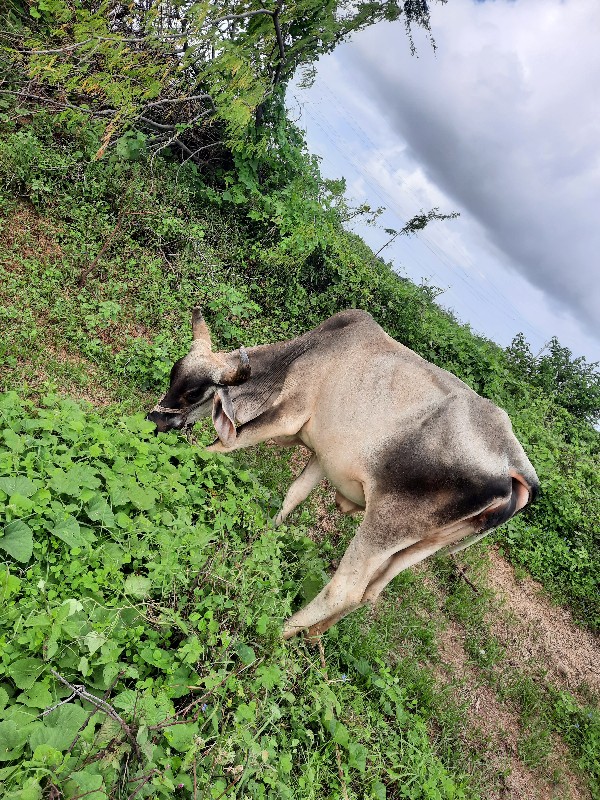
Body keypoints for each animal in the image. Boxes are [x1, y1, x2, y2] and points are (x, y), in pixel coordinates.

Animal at [146, 306, 540, 636]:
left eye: (194, 392)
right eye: (174, 374)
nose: (153, 421)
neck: (308, 352)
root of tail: (514, 469)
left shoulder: (284, 416)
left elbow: (217, 449)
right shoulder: (322, 455)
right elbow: (294, 496)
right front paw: (267, 535)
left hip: (385, 525)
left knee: (346, 589)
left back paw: (279, 634)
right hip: (422, 545)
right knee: (371, 593)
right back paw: (314, 635)